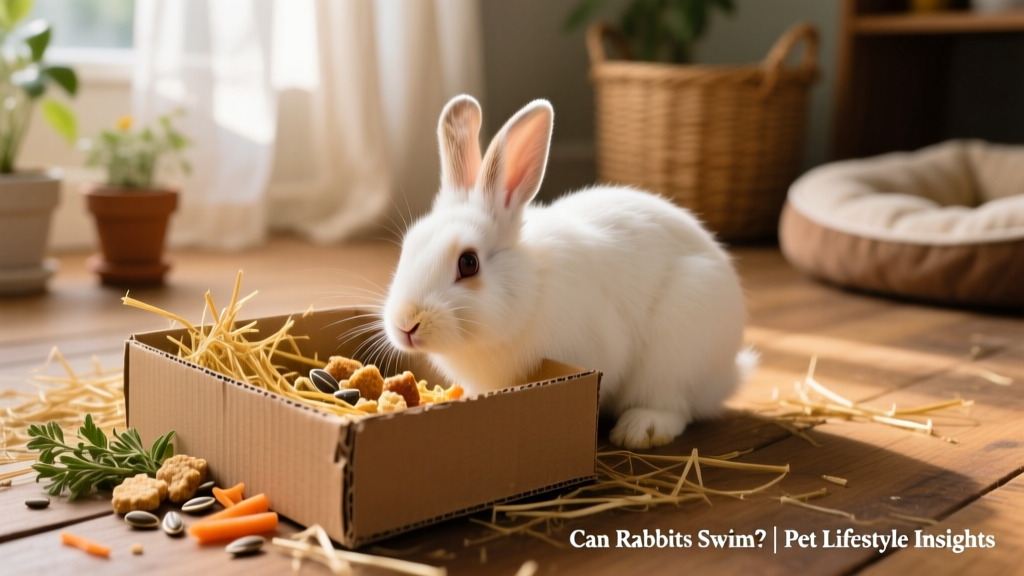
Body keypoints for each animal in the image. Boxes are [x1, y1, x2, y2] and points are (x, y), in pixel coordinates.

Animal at [382, 94, 755, 450]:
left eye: (468, 263)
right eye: (408, 246)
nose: (406, 323)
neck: (531, 291)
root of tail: (729, 372)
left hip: (675, 350)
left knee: (673, 405)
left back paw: (640, 430)